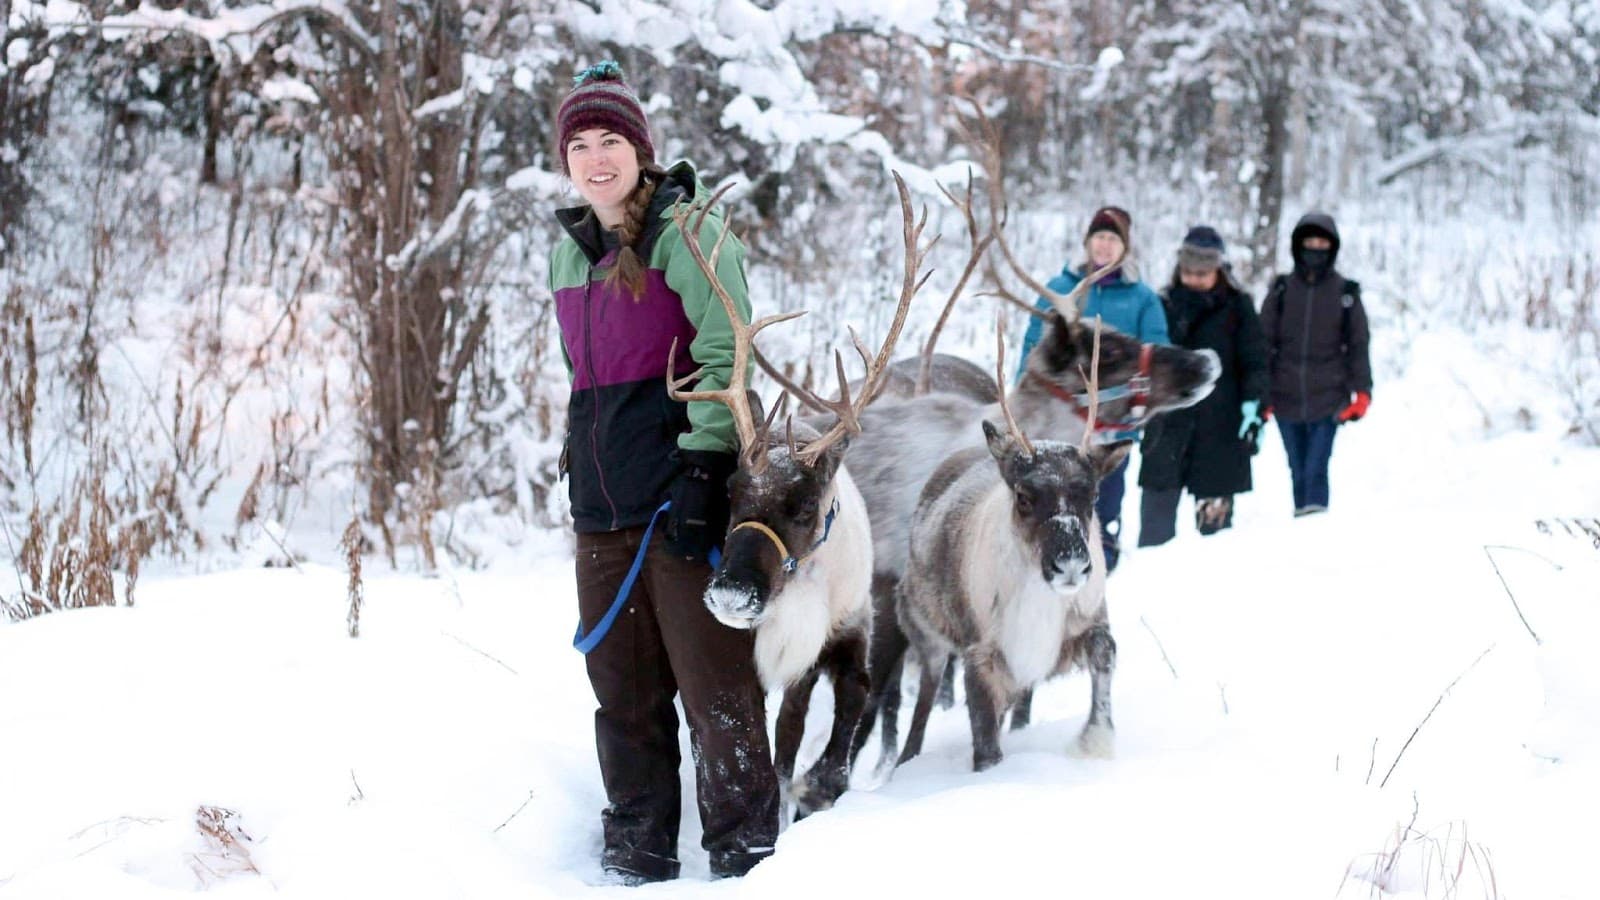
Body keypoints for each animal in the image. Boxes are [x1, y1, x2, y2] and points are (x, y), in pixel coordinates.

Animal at [665, 174, 930, 818]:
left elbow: (849, 706)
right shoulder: (759, 657)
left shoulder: (848, 632)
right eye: (730, 491)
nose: (732, 594)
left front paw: (819, 785)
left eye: (805, 506)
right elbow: (771, 748)